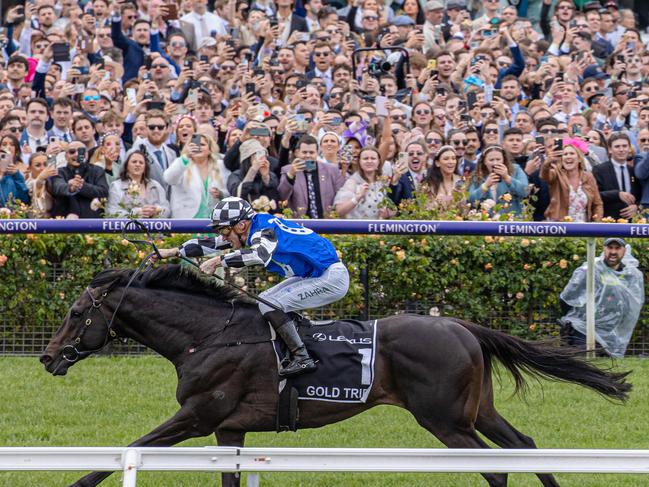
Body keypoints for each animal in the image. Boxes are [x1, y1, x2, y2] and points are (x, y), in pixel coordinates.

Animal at [39, 266, 628, 487]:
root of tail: (459, 325)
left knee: (495, 466)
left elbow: (126, 451)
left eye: (75, 312)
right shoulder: (229, 428)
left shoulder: (197, 414)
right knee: (523, 447)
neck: (208, 335)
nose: (47, 357)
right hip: (475, 409)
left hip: (445, 420)